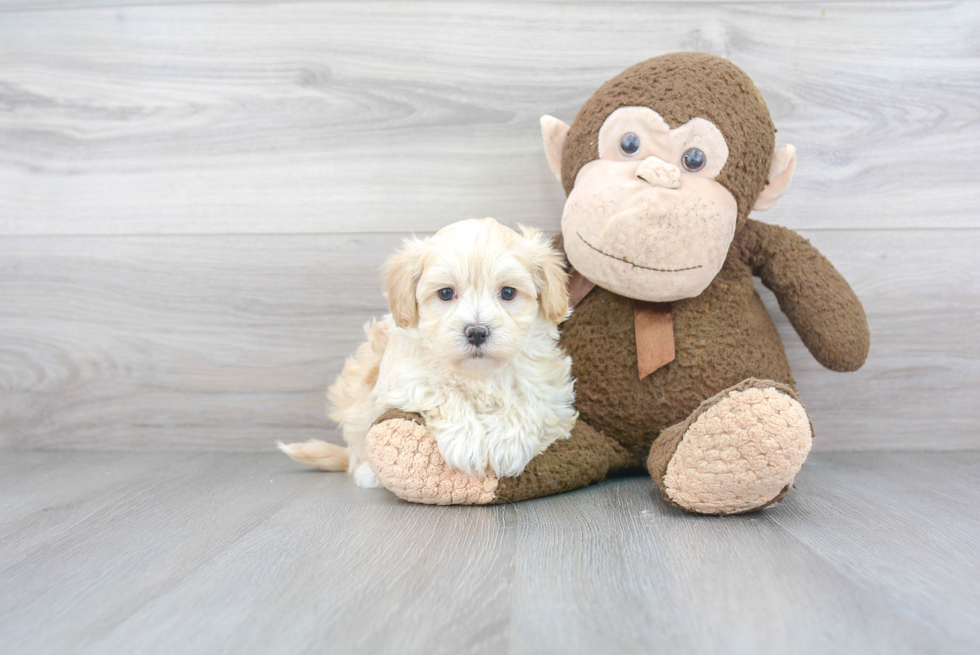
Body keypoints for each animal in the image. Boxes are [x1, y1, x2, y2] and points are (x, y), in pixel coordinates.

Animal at [280, 219, 580, 486]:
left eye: (508, 292)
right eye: (445, 293)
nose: (476, 332)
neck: (478, 372)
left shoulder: (551, 389)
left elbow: (529, 401)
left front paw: (508, 443)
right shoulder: (405, 379)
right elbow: (443, 391)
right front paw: (467, 442)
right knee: (357, 453)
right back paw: (367, 473)